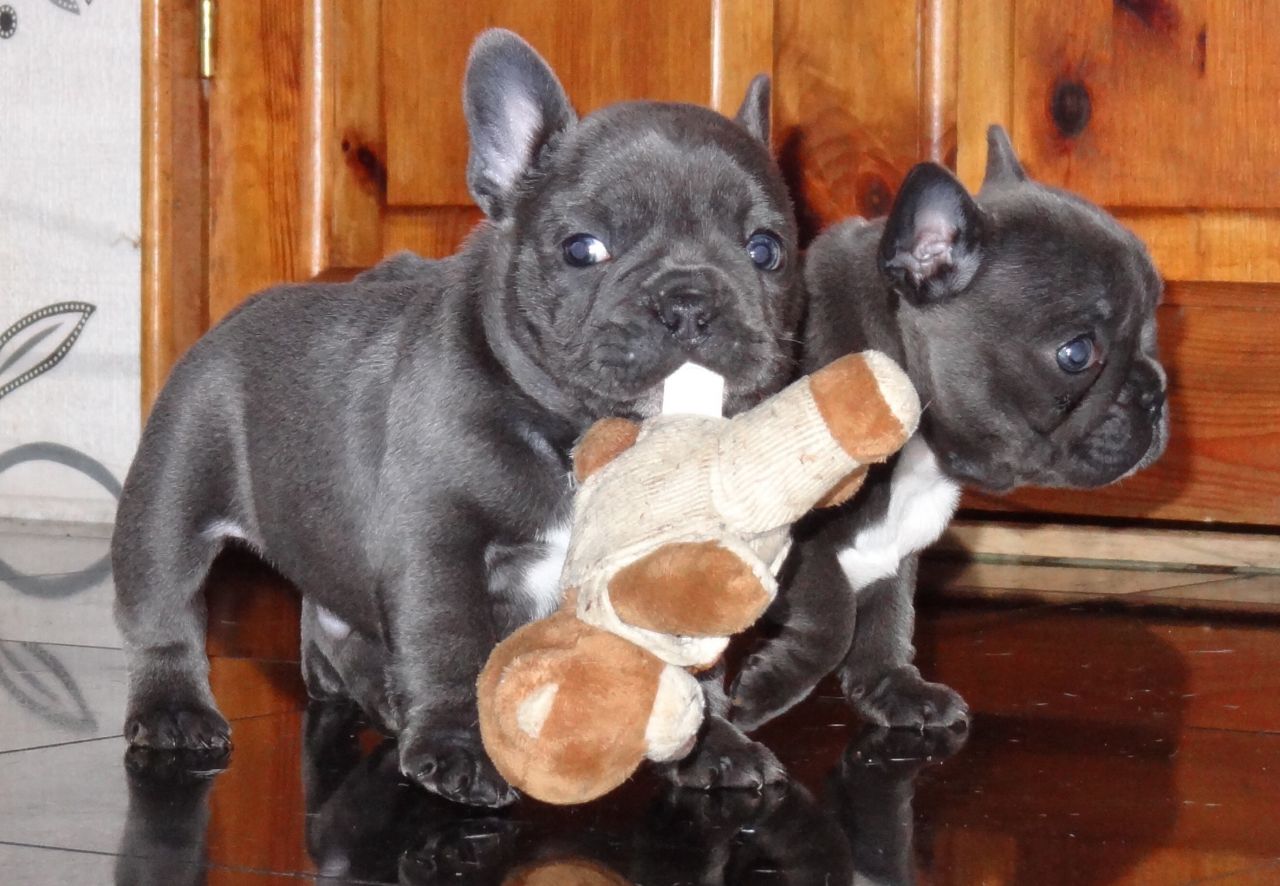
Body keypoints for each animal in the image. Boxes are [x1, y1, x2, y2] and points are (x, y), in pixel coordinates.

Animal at [115, 27, 803, 804]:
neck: (579, 436)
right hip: (173, 493)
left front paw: (713, 743)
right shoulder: (437, 545)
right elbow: (446, 644)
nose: (689, 301)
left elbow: (691, 657)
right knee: (165, 613)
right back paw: (175, 713)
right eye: (583, 249)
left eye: (767, 251)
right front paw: (457, 746)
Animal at [727, 124, 1167, 732]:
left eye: (1153, 329)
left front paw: (893, 690)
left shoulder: (892, 541)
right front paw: (766, 688)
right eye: (1077, 353)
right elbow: (833, 614)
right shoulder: (796, 538)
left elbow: (889, 617)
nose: (1157, 393)